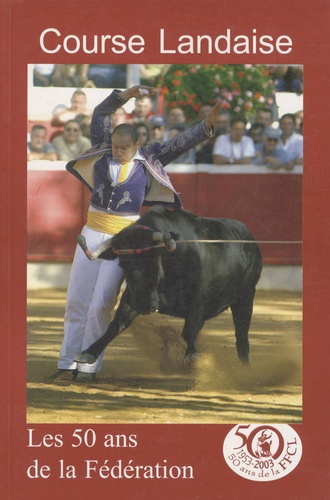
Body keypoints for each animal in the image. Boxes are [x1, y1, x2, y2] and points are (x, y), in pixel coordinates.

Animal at [75, 206, 262, 368]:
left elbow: (188, 330)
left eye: (152, 261)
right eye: (123, 264)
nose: (144, 307)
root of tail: (250, 239)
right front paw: (88, 353)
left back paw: (246, 369)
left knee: (242, 338)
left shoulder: (196, 300)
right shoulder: (132, 298)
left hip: (246, 297)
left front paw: (191, 355)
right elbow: (116, 325)